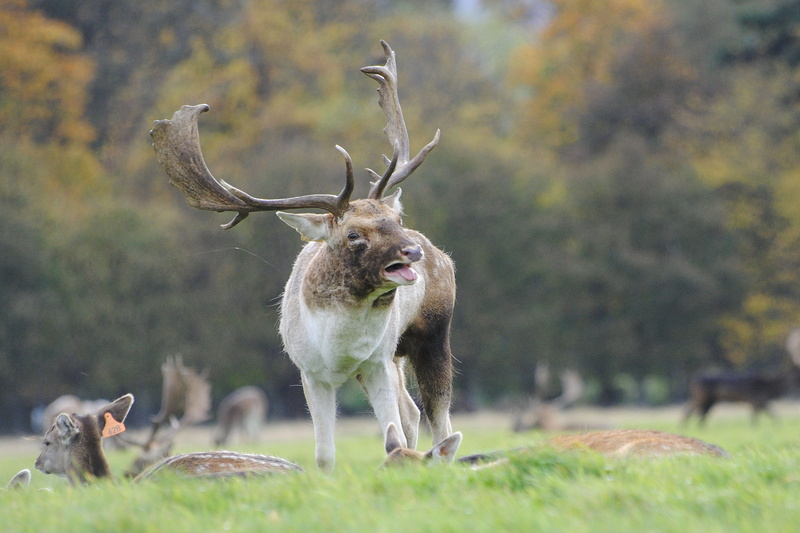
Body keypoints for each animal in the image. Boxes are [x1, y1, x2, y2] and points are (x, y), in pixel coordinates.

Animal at [151, 41, 455, 471]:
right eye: (353, 234)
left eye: (396, 218)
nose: (412, 251)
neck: (340, 348)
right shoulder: (311, 372)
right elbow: (325, 454)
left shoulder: (375, 362)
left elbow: (389, 433)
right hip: (396, 357)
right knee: (413, 413)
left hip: (431, 335)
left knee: (439, 419)